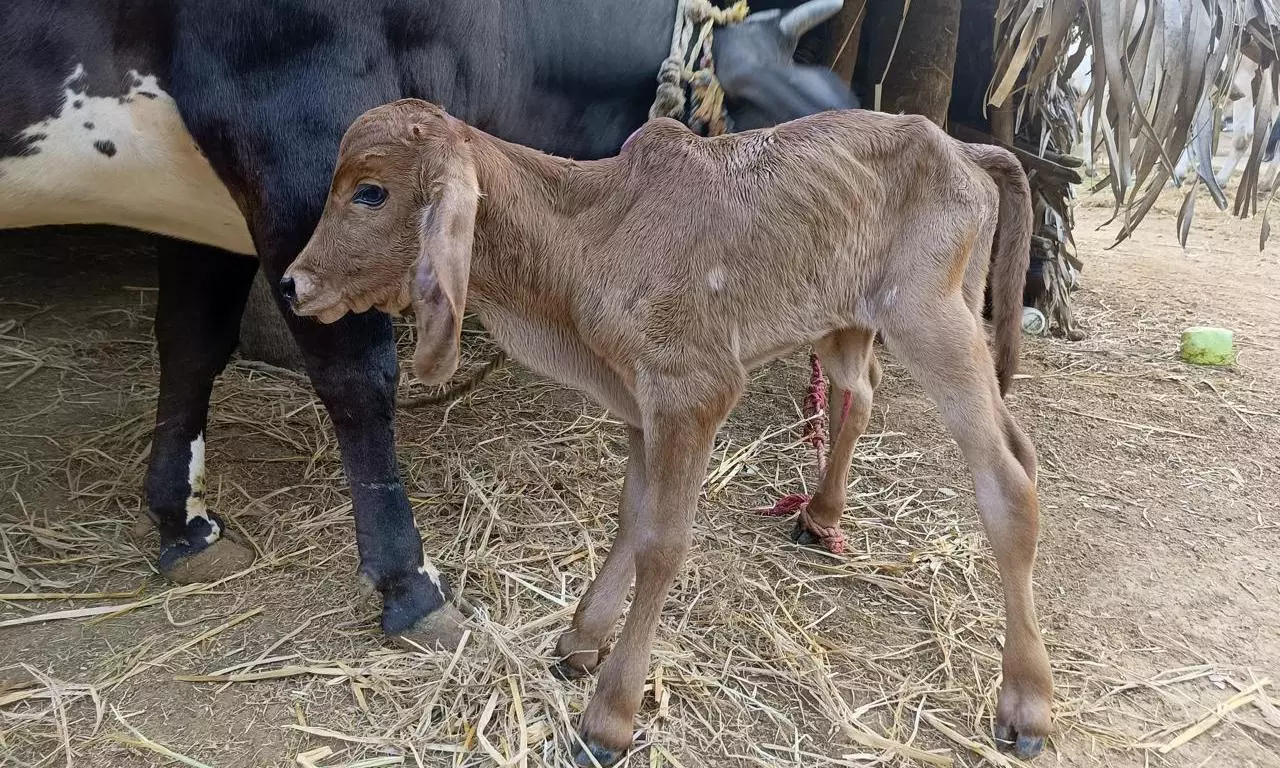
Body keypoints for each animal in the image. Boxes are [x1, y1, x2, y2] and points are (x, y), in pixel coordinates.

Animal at [2, 0, 860, 647]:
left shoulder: (198, 202)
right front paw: (408, 586)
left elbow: (190, 342)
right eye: (778, 130)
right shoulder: (301, 143)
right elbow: (357, 377)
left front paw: (181, 524)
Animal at [285, 99, 1054, 762]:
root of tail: (964, 149)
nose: (293, 283)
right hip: (853, 324)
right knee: (869, 396)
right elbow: (633, 516)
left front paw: (610, 717)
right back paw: (821, 513)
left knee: (1010, 479)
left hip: (933, 321)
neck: (591, 236)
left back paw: (1026, 704)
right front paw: (582, 639)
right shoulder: (640, 409)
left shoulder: (692, 396)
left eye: (370, 192)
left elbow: (662, 545)